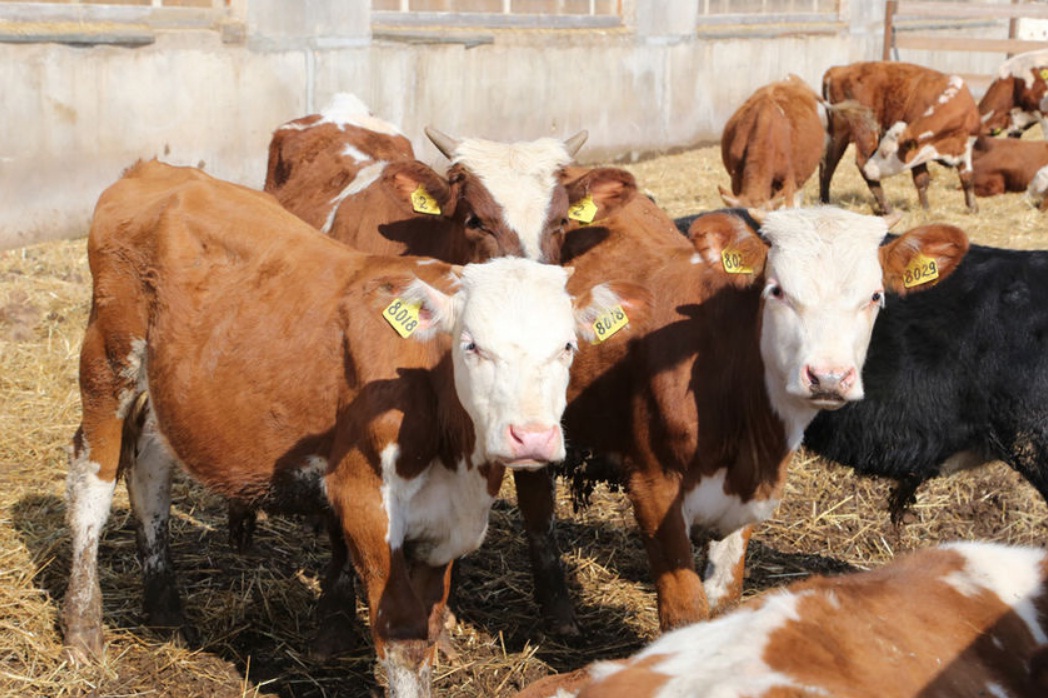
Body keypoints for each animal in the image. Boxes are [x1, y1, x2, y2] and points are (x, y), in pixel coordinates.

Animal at [63, 159, 645, 695]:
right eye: (471, 344)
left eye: (567, 346)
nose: (531, 437)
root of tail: (157, 169)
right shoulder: (364, 499)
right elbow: (402, 632)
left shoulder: (446, 524)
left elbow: (430, 624)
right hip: (108, 361)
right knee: (93, 478)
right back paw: (82, 630)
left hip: (172, 389)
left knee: (149, 469)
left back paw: (165, 610)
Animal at [821, 61, 985, 213]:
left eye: (885, 153)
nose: (869, 170)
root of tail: (838, 70)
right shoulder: (917, 151)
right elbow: (922, 179)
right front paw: (926, 209)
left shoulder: (965, 148)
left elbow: (967, 177)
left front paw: (973, 207)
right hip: (864, 127)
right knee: (860, 161)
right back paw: (886, 207)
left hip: (839, 133)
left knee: (828, 163)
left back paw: (824, 201)